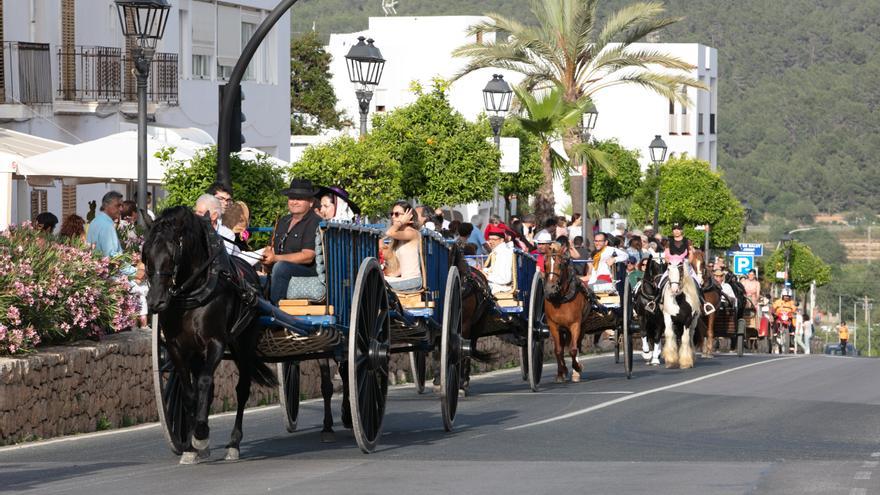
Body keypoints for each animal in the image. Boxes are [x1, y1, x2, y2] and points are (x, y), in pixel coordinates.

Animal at [144, 205, 276, 464]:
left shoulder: (216, 342)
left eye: (172, 252)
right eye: (145, 254)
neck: (192, 292)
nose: (155, 301)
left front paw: (201, 434)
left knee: (242, 389)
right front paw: (190, 445)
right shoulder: (176, 347)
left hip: (243, 345)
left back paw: (233, 443)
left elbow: (205, 382)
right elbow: (189, 392)